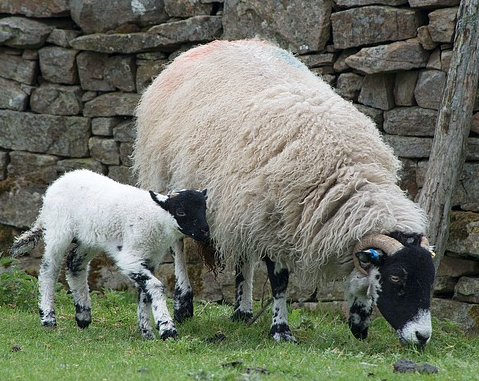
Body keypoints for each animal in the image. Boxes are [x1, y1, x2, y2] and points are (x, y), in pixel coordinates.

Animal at [10, 169, 209, 338]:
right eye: (181, 211)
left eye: (204, 209)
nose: (205, 232)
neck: (154, 216)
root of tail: (58, 183)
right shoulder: (129, 257)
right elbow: (155, 286)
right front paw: (167, 329)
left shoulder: (150, 258)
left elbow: (145, 293)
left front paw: (147, 332)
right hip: (58, 230)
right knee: (48, 270)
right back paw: (48, 318)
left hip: (90, 238)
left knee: (74, 263)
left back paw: (83, 316)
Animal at [133, 38, 436, 344]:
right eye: (396, 277)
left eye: (431, 279)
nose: (422, 336)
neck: (346, 172)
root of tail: (208, 45)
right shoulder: (273, 222)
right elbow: (279, 281)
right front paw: (281, 330)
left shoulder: (263, 215)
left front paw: (358, 322)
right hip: (165, 178)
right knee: (178, 245)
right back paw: (184, 304)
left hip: (240, 202)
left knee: (243, 254)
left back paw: (242, 312)